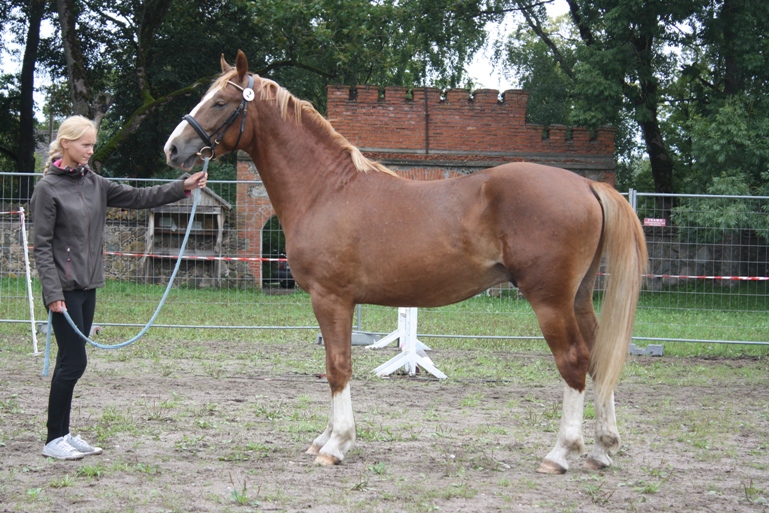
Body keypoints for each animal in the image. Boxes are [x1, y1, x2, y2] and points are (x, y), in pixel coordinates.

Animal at [165, 52, 644, 472]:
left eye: (220, 102)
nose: (173, 148)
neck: (326, 189)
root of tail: (586, 185)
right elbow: (335, 366)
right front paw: (325, 438)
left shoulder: (330, 298)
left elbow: (338, 368)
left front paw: (336, 445)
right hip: (579, 298)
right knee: (599, 358)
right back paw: (601, 450)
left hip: (550, 299)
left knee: (574, 361)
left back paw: (561, 453)